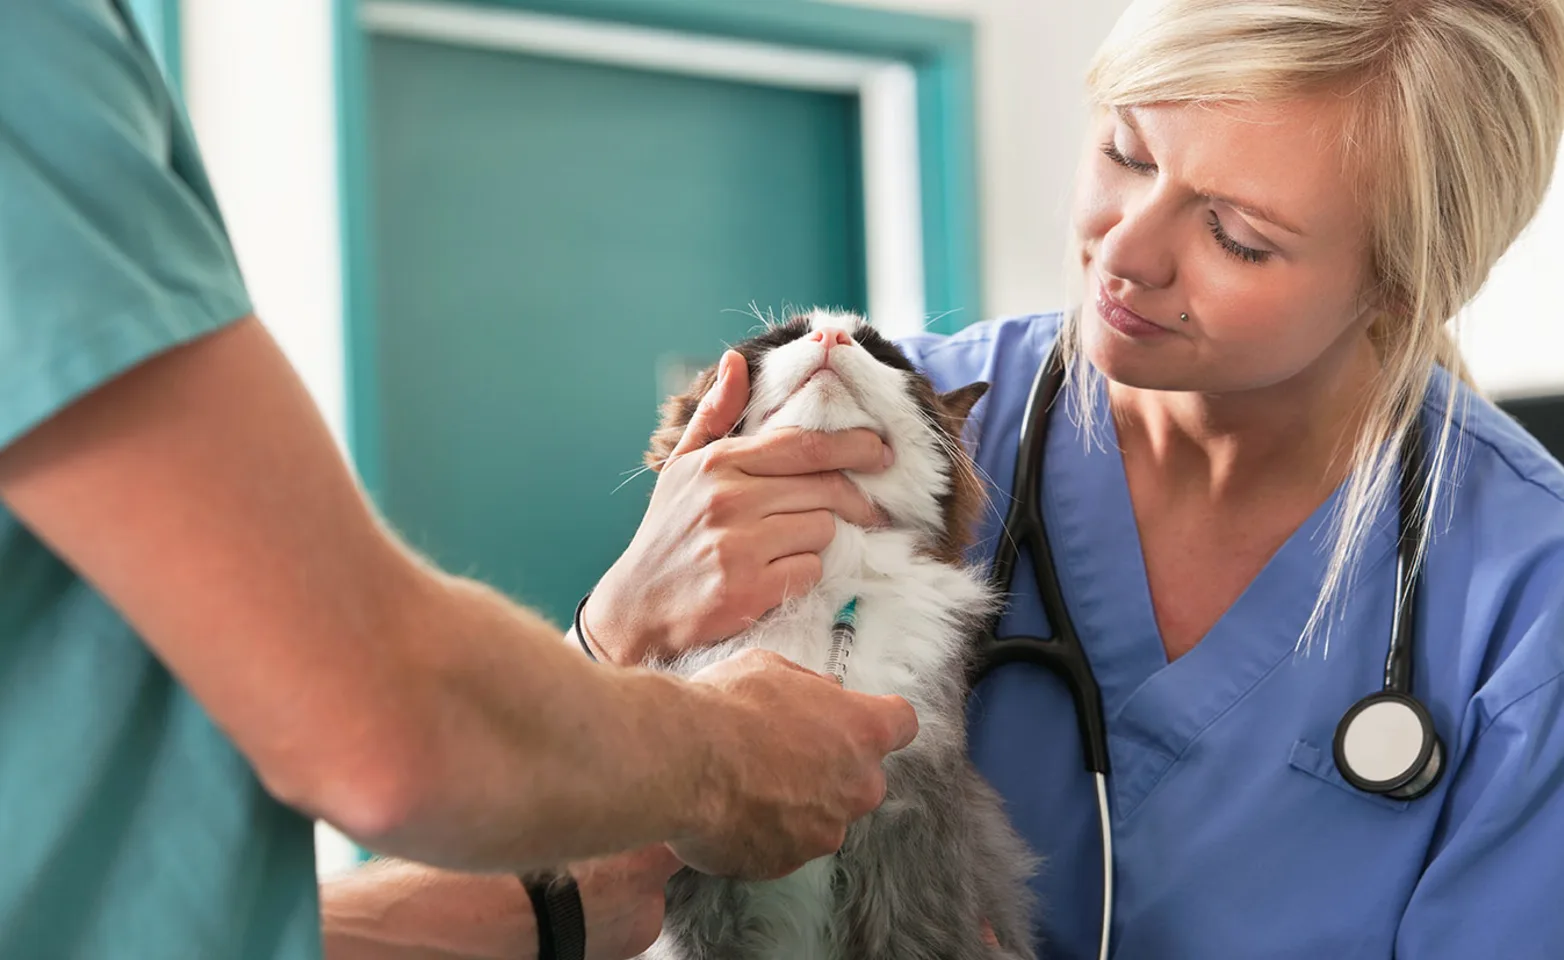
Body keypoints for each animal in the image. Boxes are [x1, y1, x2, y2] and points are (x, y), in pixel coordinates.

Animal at [628, 308, 1044, 960]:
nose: (831, 335)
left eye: (882, 352)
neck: (829, 576)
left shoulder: (916, 856)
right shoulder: (692, 907)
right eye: (783, 338)